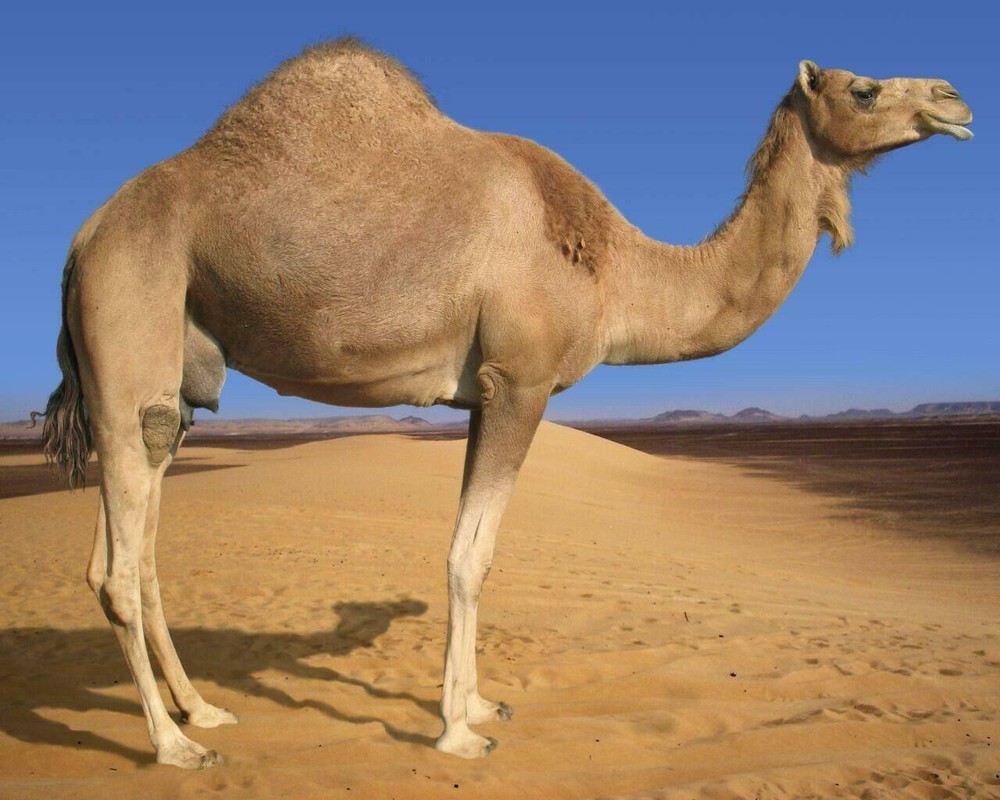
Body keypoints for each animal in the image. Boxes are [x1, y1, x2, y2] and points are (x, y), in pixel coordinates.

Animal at [35, 39, 972, 768]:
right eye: (864, 87)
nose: (956, 100)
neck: (619, 267)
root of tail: (81, 242)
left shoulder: (482, 391)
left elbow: (472, 551)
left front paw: (481, 704)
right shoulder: (520, 380)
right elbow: (469, 557)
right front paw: (459, 732)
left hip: (174, 381)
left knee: (134, 547)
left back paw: (204, 709)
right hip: (131, 321)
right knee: (119, 565)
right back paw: (173, 745)